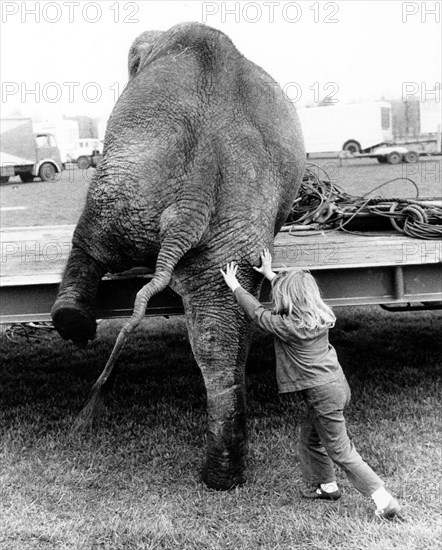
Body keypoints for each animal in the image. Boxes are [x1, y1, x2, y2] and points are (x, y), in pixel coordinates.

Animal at [51, 22, 306, 492]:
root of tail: (195, 190)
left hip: (122, 183)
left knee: (89, 243)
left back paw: (72, 321)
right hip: (232, 228)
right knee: (218, 333)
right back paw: (222, 474)